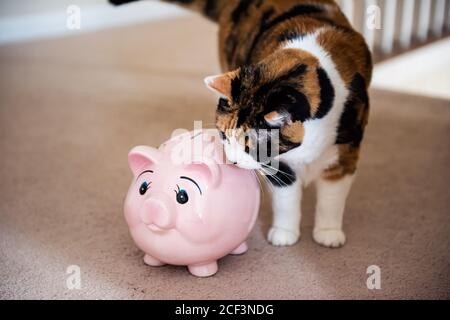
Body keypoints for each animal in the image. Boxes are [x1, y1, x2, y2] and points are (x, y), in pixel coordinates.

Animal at [111, 0, 372, 248]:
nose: (233, 161)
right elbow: (286, 200)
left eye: (252, 146)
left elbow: (332, 198)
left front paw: (328, 233)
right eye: (223, 135)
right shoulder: (281, 166)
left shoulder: (345, 151)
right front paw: (285, 233)